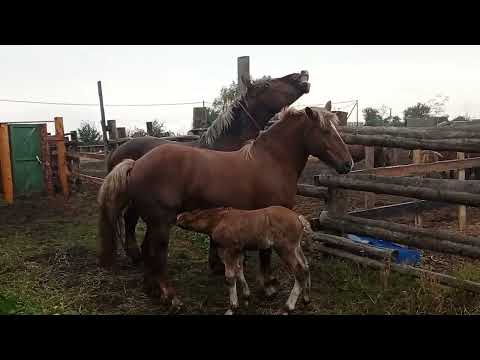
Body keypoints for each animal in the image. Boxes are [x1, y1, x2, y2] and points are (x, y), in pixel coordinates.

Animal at [176, 205, 316, 316]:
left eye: (193, 212)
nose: (178, 217)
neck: (220, 220)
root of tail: (298, 217)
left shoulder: (229, 250)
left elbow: (230, 277)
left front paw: (232, 307)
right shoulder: (239, 251)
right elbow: (239, 271)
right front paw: (246, 297)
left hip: (285, 249)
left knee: (299, 272)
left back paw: (287, 308)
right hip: (296, 248)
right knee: (305, 267)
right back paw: (306, 299)